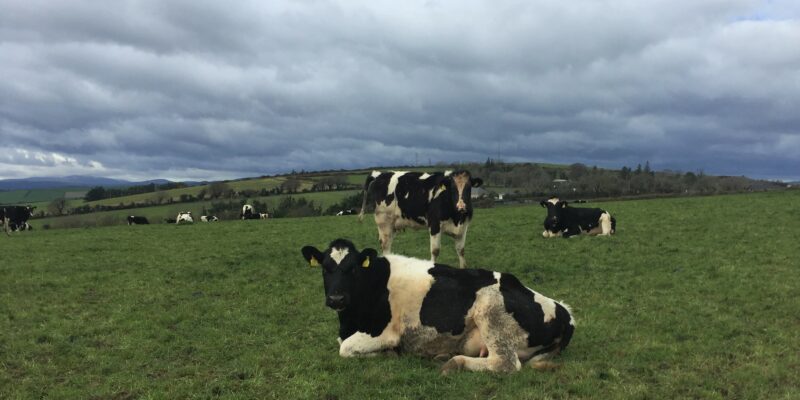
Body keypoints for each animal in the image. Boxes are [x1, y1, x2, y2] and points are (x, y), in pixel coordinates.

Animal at [301, 239, 575, 374]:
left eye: (353, 269)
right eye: (325, 269)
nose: (336, 299)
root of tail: (565, 312)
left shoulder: (384, 333)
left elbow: (345, 348)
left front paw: (390, 353)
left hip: (490, 310)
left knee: (506, 364)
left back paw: (454, 363)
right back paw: (444, 355)